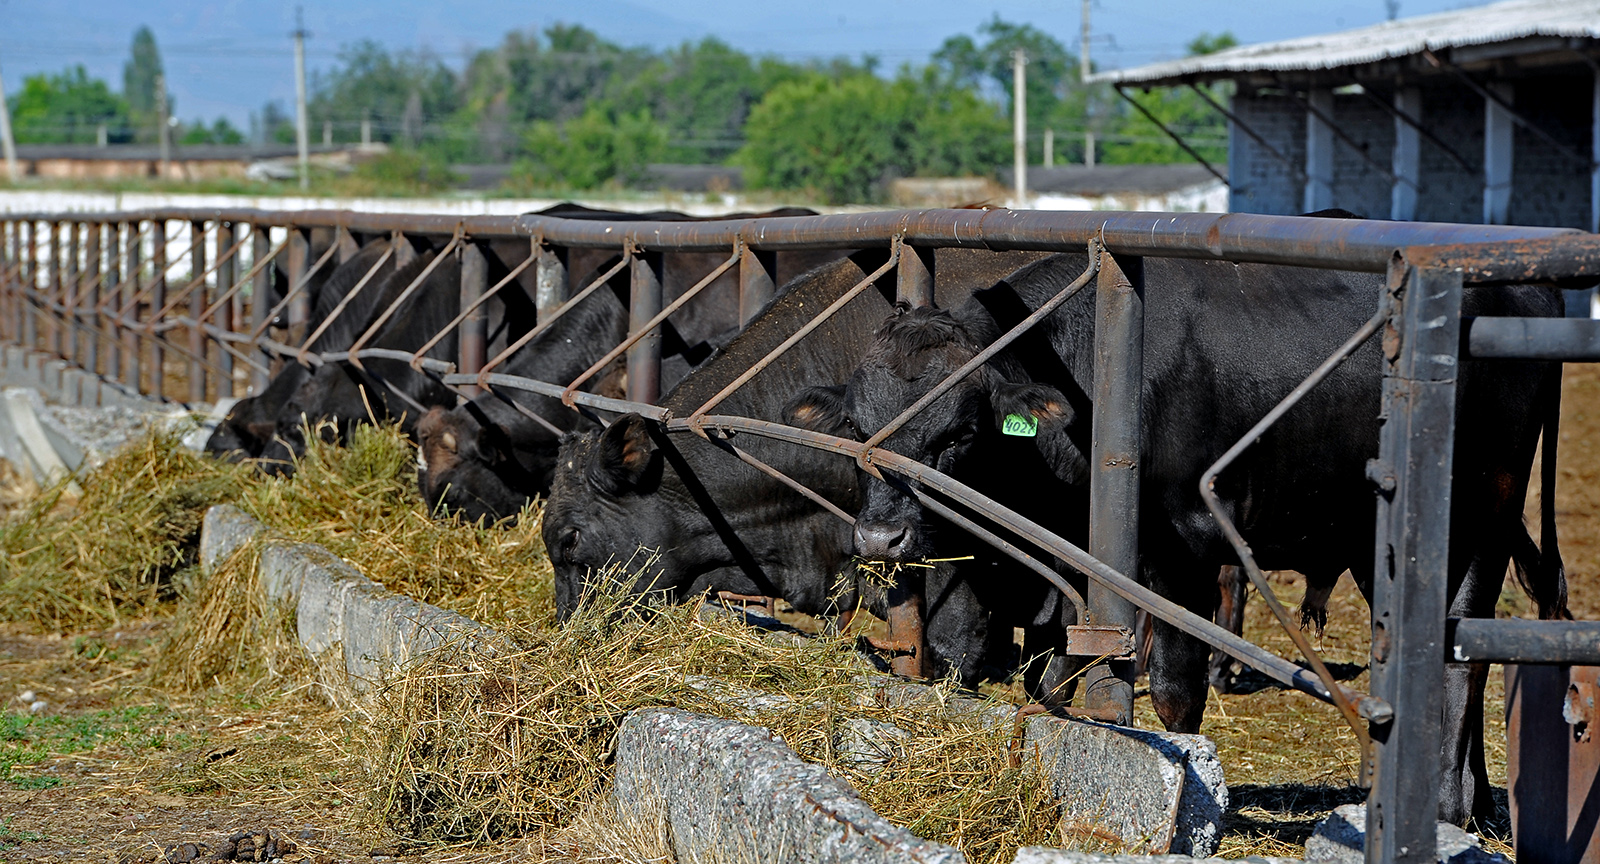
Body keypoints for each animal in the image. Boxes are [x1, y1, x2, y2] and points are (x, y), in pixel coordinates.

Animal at [787, 248, 1561, 825]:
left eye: (956, 434)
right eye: (857, 426)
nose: (880, 537)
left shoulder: (1185, 552)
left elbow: (1174, 691)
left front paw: (1195, 799)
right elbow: (1041, 674)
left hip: (1482, 519)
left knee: (1463, 658)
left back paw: (1450, 806)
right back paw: (1462, 802)